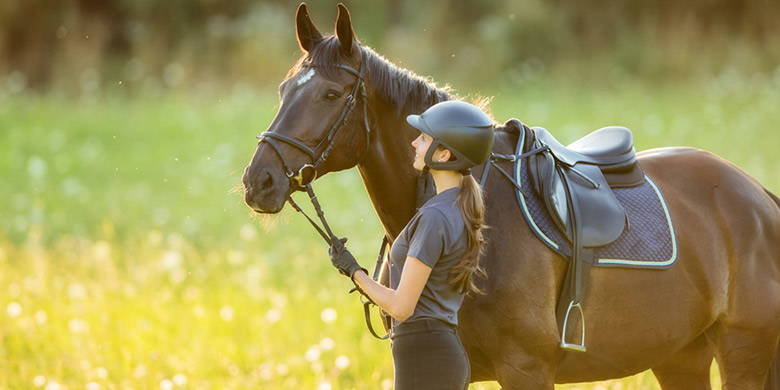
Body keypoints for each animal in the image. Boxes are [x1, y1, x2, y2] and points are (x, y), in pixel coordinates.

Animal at [242, 4, 780, 388]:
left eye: (331, 95)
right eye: (285, 89)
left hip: (742, 354)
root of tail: (757, 196)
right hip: (680, 357)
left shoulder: (527, 369)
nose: (258, 181)